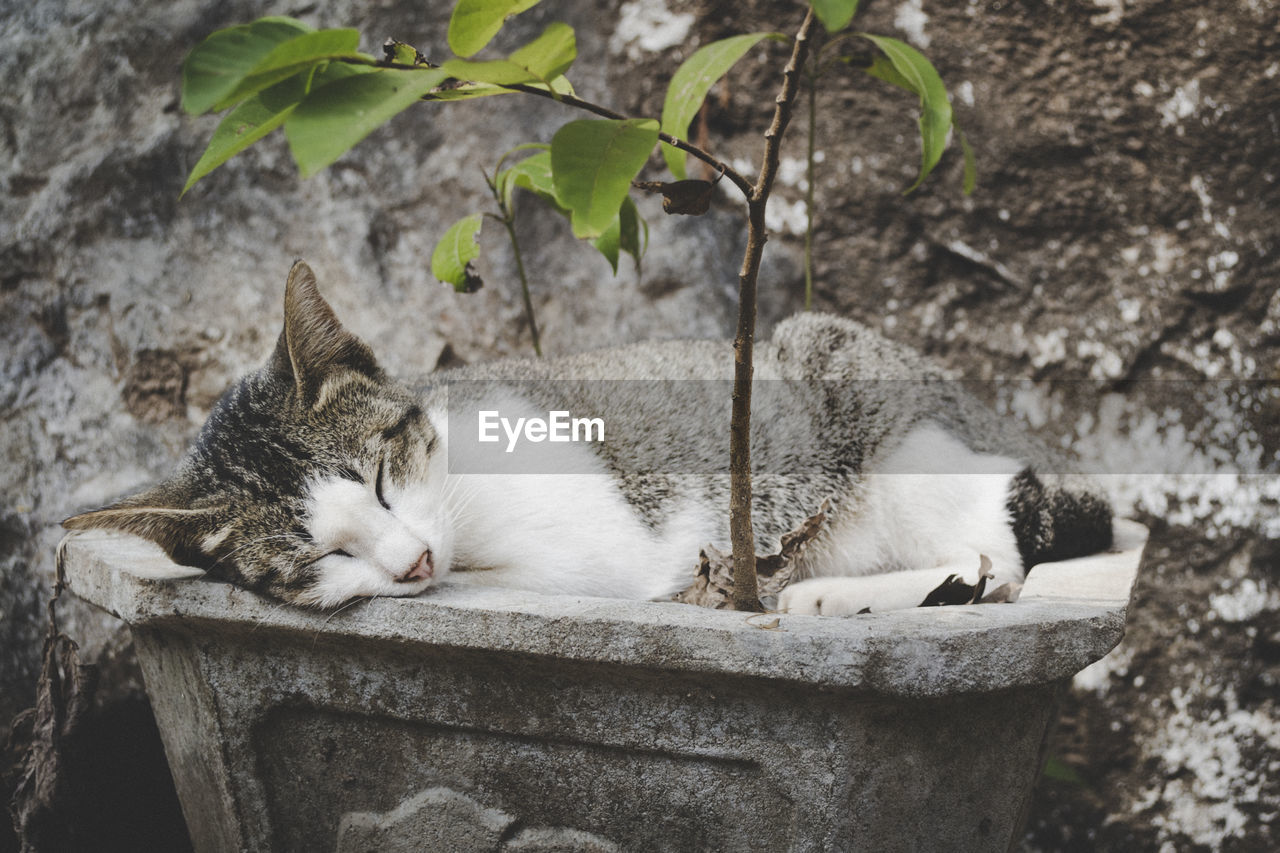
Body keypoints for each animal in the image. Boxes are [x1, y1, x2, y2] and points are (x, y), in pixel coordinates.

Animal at [64, 258, 1116, 612]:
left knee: (1006, 549)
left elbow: (585, 570)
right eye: (317, 552)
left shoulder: (595, 547)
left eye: (380, 480)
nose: (411, 564)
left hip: (859, 386)